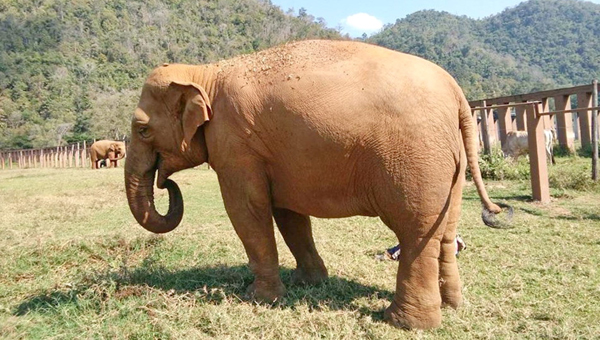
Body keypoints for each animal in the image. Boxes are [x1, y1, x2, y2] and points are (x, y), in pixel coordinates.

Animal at [123, 39, 510, 330]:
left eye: (142, 130)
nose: (166, 184)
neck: (205, 72)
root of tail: (457, 94)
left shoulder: (235, 143)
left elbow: (246, 210)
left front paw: (258, 298)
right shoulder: (272, 154)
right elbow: (288, 214)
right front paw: (309, 283)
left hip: (416, 157)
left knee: (415, 230)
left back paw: (404, 322)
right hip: (450, 161)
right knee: (445, 232)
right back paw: (453, 305)